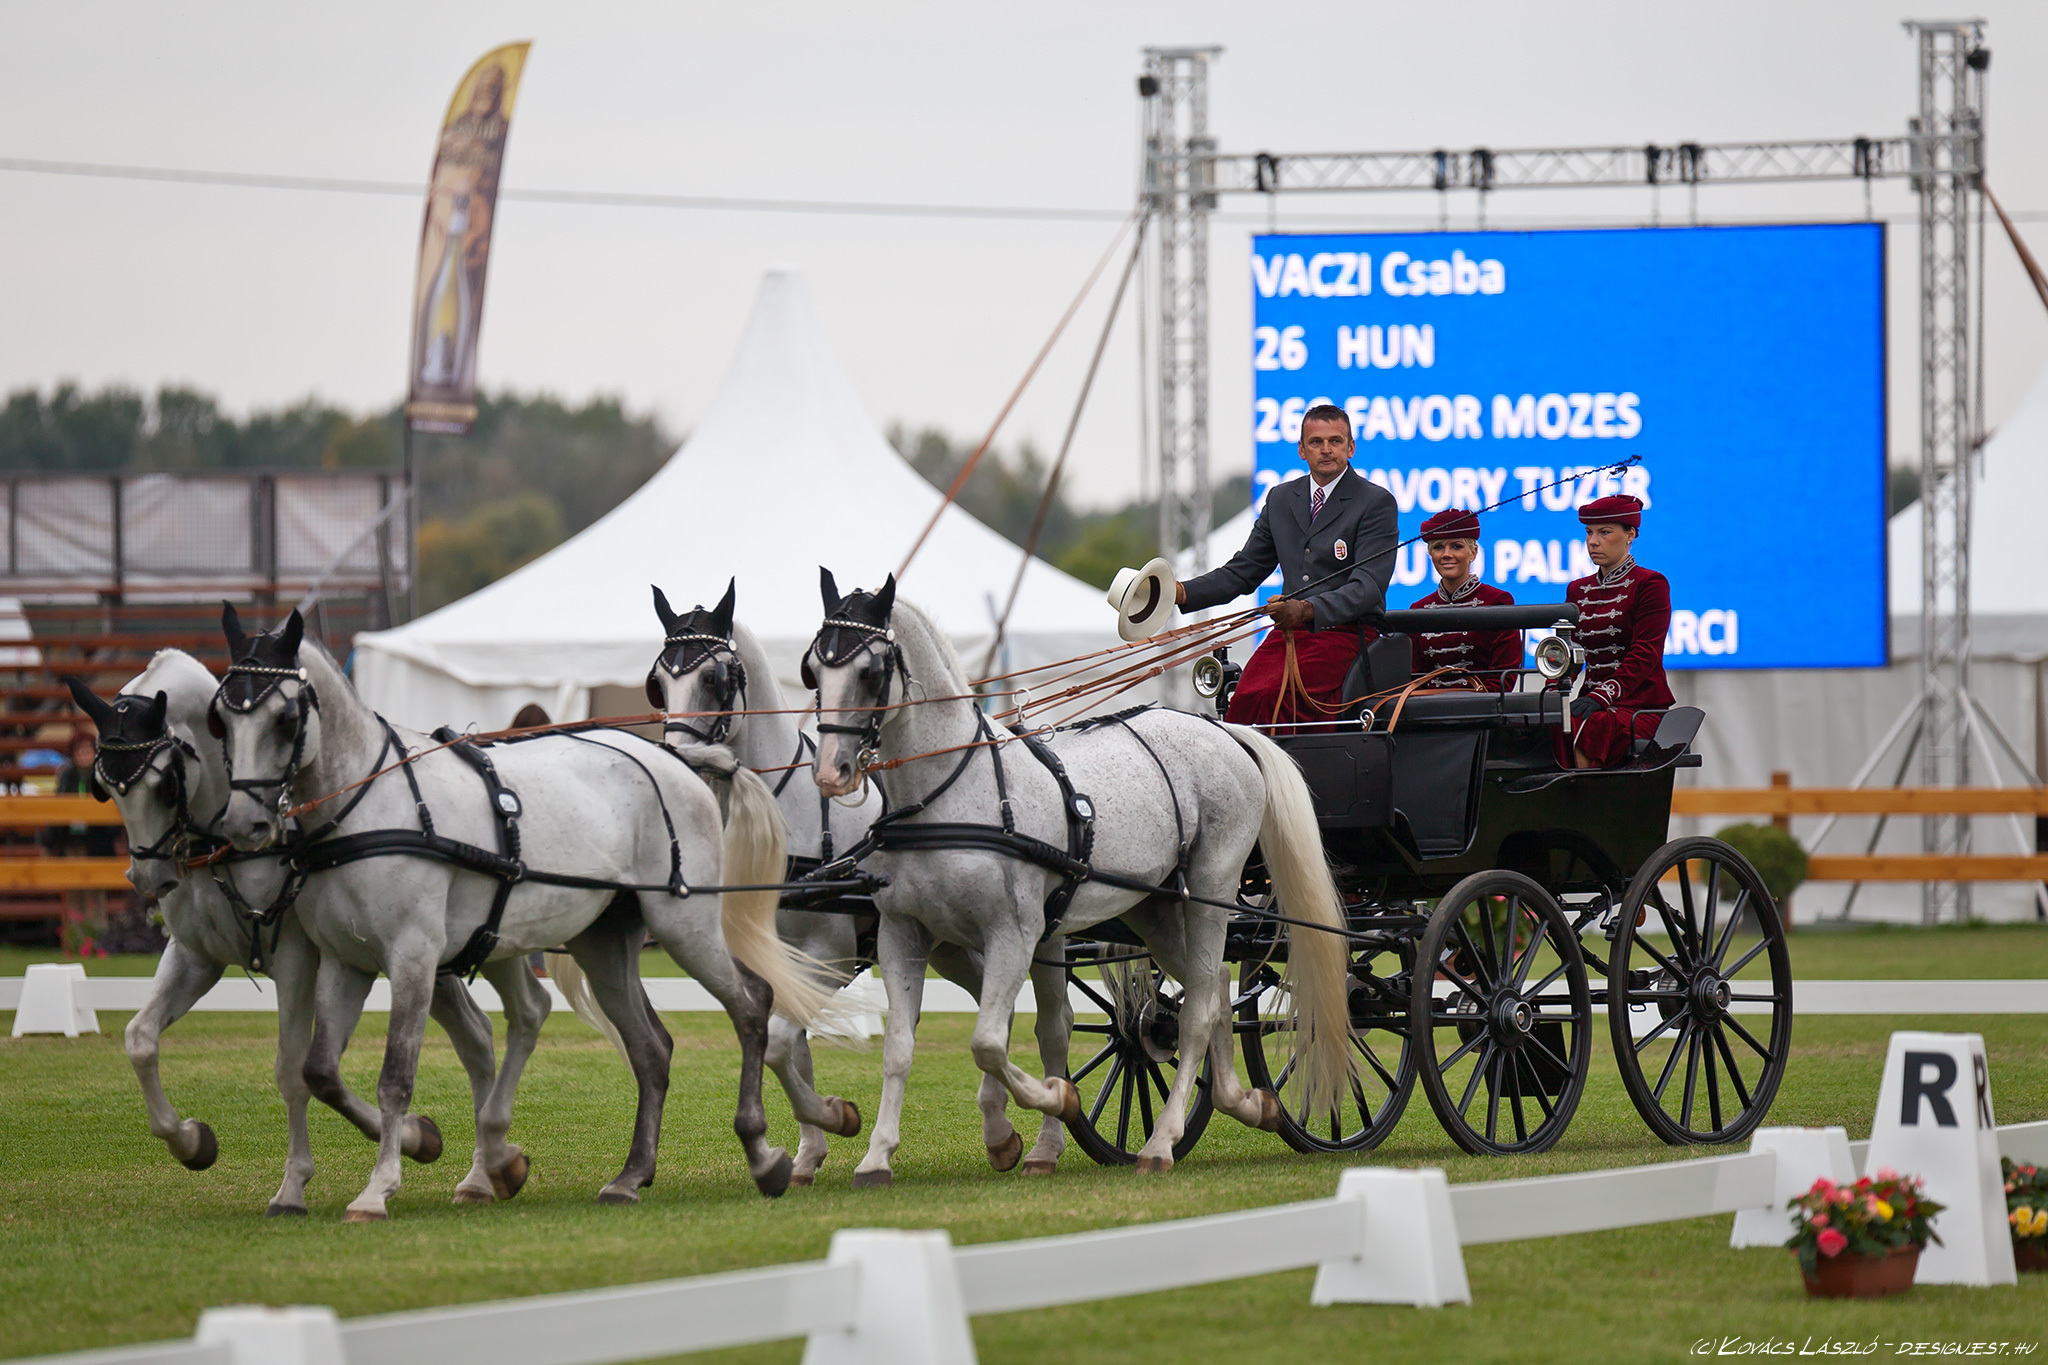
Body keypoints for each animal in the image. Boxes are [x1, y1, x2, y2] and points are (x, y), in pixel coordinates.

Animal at [64, 653, 498, 1215]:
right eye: (104, 787)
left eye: (165, 784)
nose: (147, 878)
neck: (224, 845)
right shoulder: (194, 957)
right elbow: (140, 1038)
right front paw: (191, 1141)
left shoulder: (295, 960)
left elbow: (292, 1070)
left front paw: (293, 1186)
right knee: (478, 1037)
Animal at [207, 605, 853, 1219]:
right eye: (222, 719)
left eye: (285, 718)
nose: (243, 825)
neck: (368, 807)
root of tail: (681, 762)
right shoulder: (348, 962)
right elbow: (320, 1071)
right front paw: (423, 1142)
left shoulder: (413, 957)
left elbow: (396, 1076)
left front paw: (378, 1189)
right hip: (602, 943)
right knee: (652, 1048)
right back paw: (630, 1175)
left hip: (684, 923)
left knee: (751, 1004)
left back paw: (762, 1153)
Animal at [636, 580, 1072, 1180]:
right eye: (658, 683)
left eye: (714, 679)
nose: (677, 760)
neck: (785, 818)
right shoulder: (775, 961)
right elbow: (789, 1048)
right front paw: (810, 1150)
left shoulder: (831, 956)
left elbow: (781, 1042)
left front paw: (835, 1119)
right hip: (949, 945)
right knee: (993, 1008)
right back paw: (1001, 1130)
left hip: (1031, 936)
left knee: (1049, 1021)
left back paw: (1034, 1135)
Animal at [805, 570, 1355, 1180]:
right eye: (813, 670)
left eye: (871, 671)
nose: (831, 772)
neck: (950, 796)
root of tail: (1224, 732)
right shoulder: (902, 935)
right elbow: (901, 1046)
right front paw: (877, 1155)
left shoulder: (1014, 934)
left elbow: (989, 1043)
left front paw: (1050, 1102)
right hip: (1153, 908)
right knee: (1210, 992)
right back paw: (1244, 1101)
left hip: (1211, 890)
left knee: (1200, 1007)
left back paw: (1162, 1140)